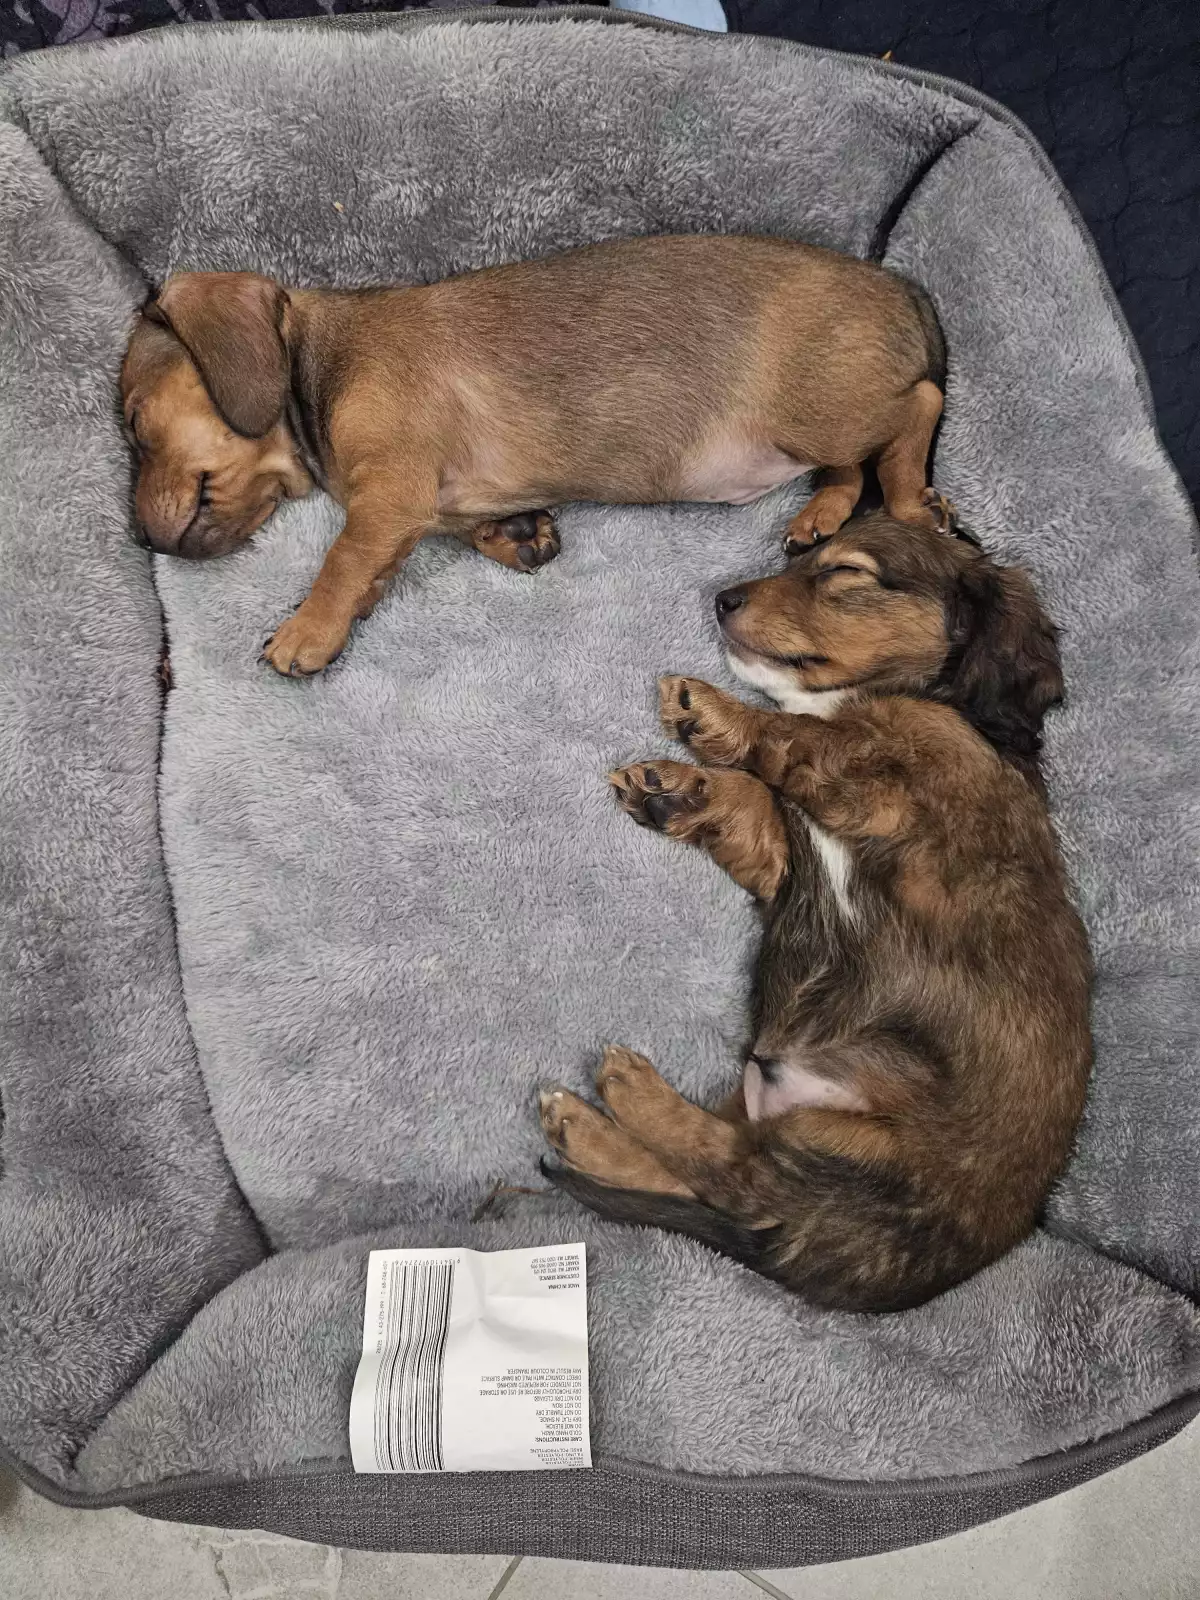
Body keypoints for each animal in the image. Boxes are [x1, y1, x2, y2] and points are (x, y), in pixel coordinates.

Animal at [120, 234, 947, 676]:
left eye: (131, 421)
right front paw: (516, 534)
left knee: (920, 408)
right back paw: (821, 515)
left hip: (824, 414)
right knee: (852, 469)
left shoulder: (390, 490)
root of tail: (899, 287)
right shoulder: (420, 508)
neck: (318, 368)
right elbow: (414, 547)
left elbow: (345, 558)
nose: (139, 537)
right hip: (814, 433)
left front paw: (305, 631)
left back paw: (914, 500)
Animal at [539, 514, 1093, 1312]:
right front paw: (681, 789)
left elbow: (803, 739)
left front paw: (713, 711)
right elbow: (758, 801)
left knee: (736, 1175)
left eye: (845, 572)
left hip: (867, 1152)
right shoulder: (783, 864)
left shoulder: (899, 784)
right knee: (716, 1181)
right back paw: (586, 1132)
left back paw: (626, 1096)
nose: (724, 600)